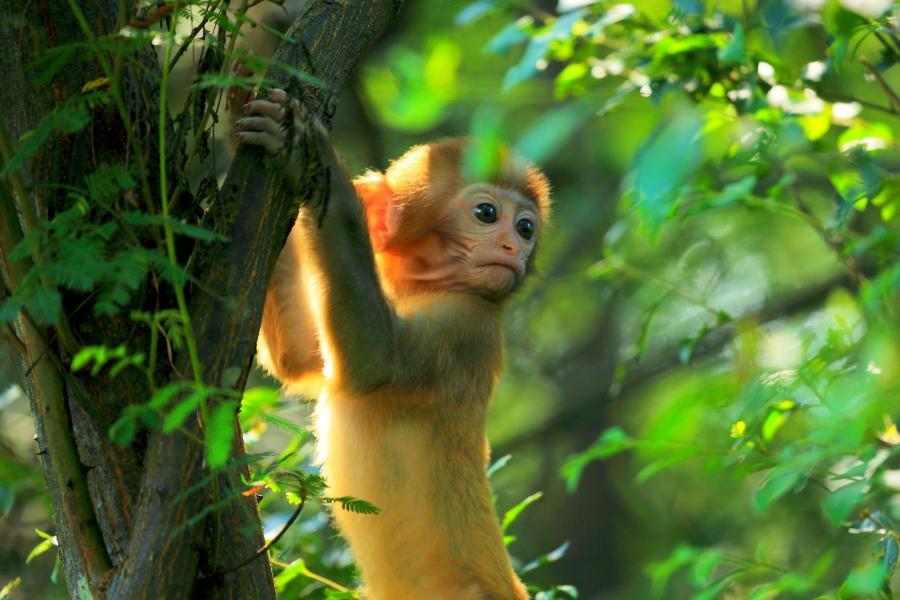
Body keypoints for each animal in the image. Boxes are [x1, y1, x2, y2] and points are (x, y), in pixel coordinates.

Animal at [236, 90, 552, 600]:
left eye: (525, 228)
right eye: (488, 215)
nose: (512, 249)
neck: (423, 288)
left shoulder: (468, 326)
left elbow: (372, 362)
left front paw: (310, 160)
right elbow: (299, 359)